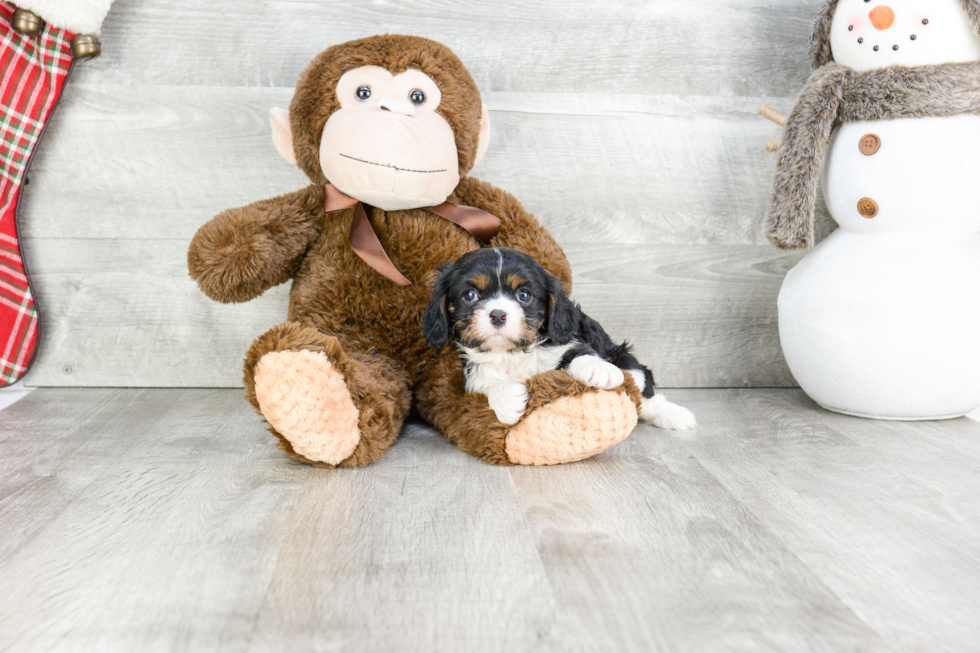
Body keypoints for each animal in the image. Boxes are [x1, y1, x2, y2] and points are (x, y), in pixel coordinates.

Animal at [422, 248, 696, 428]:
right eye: (470, 295)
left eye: (524, 295)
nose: (498, 315)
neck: (513, 352)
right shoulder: (472, 367)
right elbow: (486, 380)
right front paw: (507, 400)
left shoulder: (566, 340)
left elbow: (578, 352)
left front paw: (598, 369)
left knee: (640, 383)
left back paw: (673, 413)